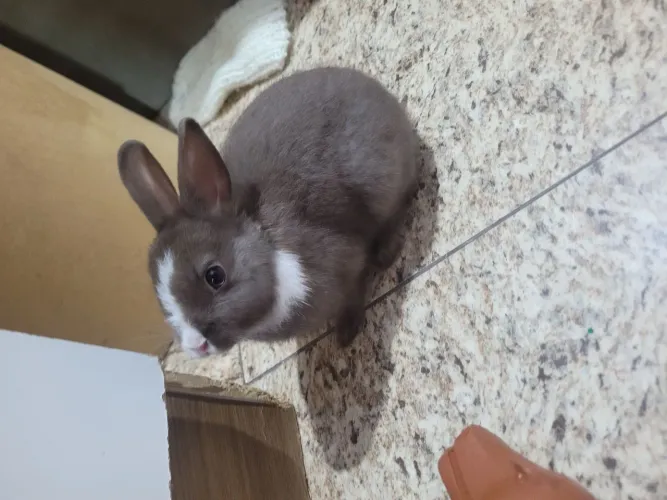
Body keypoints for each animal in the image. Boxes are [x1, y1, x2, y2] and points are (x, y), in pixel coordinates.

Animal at [118, 67, 417, 358]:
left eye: (215, 276)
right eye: (158, 294)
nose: (195, 345)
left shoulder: (347, 263)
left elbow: (354, 293)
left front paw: (345, 335)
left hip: (384, 181)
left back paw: (386, 254)